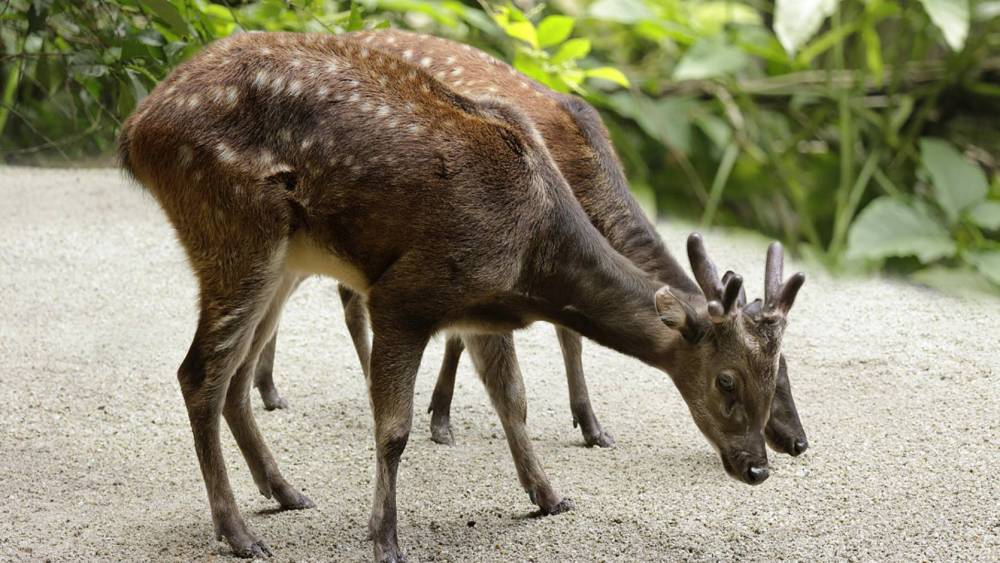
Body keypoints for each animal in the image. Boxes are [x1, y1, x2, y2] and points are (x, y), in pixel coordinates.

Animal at [251, 29, 809, 457]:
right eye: (735, 378)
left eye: (782, 368)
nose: (798, 441)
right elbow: (558, 334)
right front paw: (444, 418)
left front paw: (588, 425)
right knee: (325, 291)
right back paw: (287, 385)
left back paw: (271, 386)